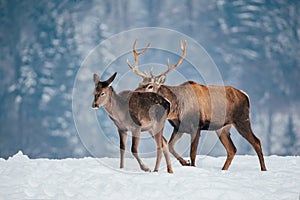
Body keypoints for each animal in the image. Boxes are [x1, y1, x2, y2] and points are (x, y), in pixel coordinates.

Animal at [126, 39, 268, 171]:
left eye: (150, 86)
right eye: (140, 83)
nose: (133, 94)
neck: (176, 110)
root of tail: (245, 95)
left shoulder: (196, 126)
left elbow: (192, 154)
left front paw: (190, 164)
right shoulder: (179, 127)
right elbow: (170, 146)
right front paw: (185, 163)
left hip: (242, 119)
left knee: (257, 141)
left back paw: (263, 169)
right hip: (222, 128)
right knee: (232, 149)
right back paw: (223, 170)